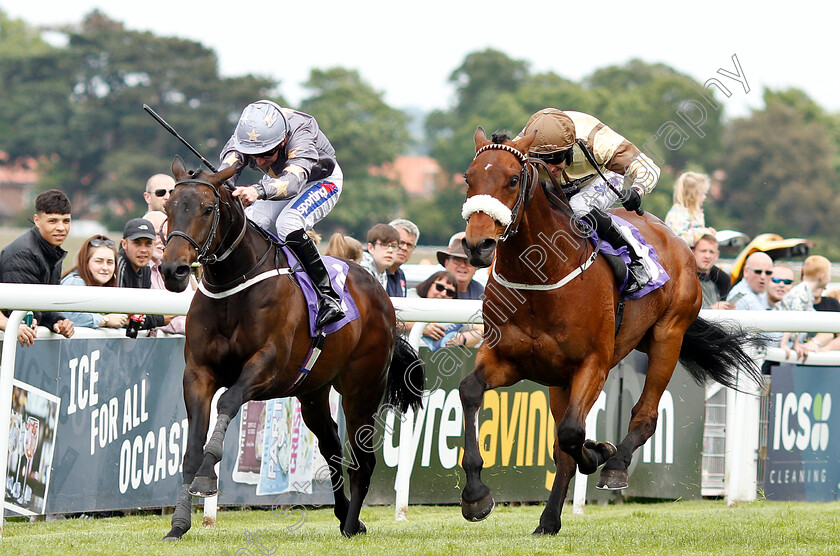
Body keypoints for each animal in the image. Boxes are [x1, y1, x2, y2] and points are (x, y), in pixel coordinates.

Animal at [158, 155, 424, 540]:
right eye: (168, 206)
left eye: (208, 209)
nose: (173, 270)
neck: (234, 285)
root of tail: (378, 289)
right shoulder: (198, 373)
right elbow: (192, 447)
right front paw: (178, 524)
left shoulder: (267, 366)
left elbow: (228, 401)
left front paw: (208, 477)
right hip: (313, 390)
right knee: (330, 445)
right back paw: (345, 514)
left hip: (363, 387)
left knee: (362, 459)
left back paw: (350, 524)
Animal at [460, 128, 760, 536]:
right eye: (469, 178)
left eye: (512, 180)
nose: (478, 244)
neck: (539, 278)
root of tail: (679, 242)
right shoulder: (506, 358)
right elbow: (470, 391)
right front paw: (475, 496)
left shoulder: (595, 364)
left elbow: (573, 433)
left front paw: (601, 452)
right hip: (561, 379)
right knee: (562, 448)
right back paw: (549, 520)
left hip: (668, 337)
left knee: (644, 415)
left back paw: (615, 466)